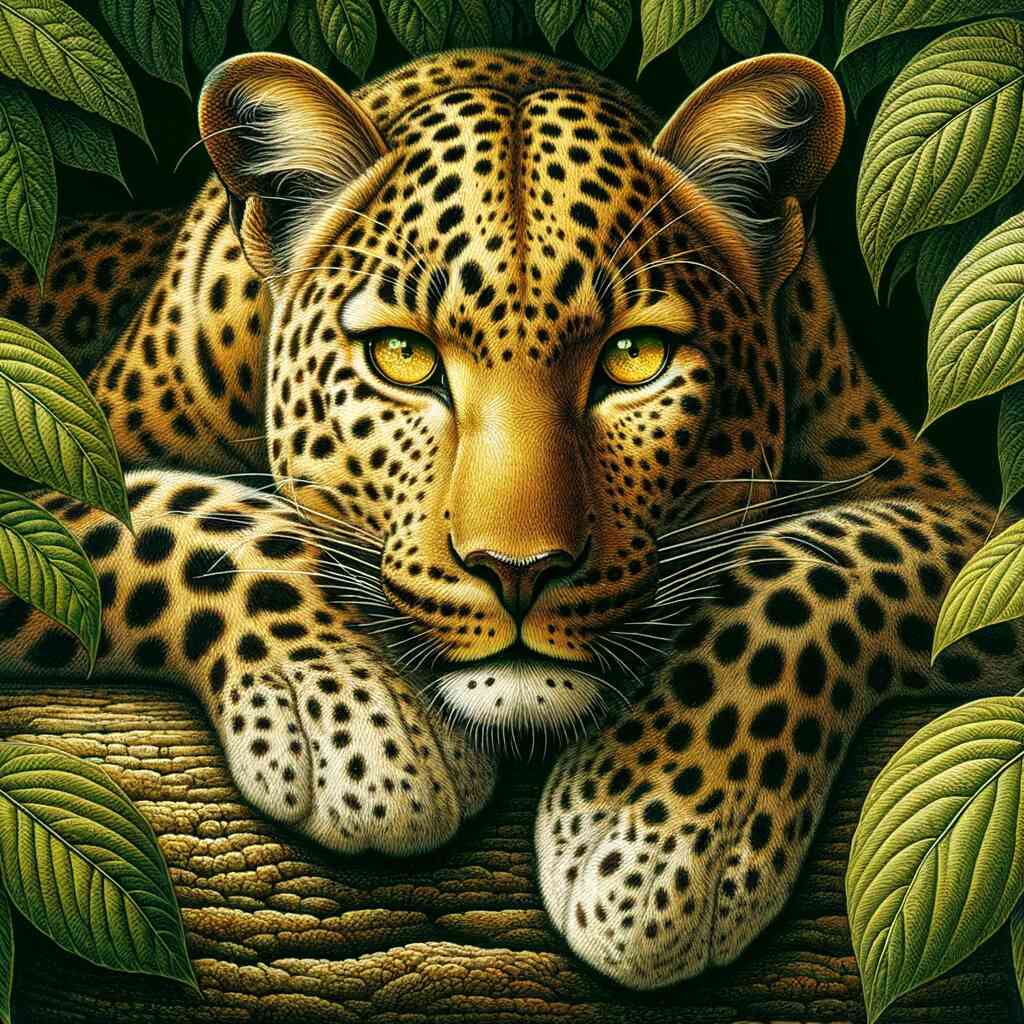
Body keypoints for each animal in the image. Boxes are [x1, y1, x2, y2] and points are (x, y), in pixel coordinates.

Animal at [0, 47, 1020, 991]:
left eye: (636, 357)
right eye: (404, 358)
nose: (517, 570)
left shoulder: (966, 519)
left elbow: (812, 565)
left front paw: (653, 832)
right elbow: (183, 520)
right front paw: (365, 721)